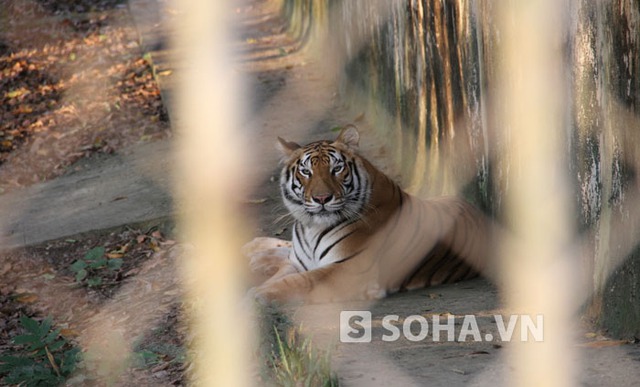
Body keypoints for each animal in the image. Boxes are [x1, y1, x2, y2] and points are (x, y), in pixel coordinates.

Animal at [245, 126, 490, 304]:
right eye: (306, 172)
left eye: (336, 169)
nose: (322, 198)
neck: (311, 228)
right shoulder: (298, 262)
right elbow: (286, 272)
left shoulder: (349, 269)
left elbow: (300, 281)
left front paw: (258, 294)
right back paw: (254, 252)